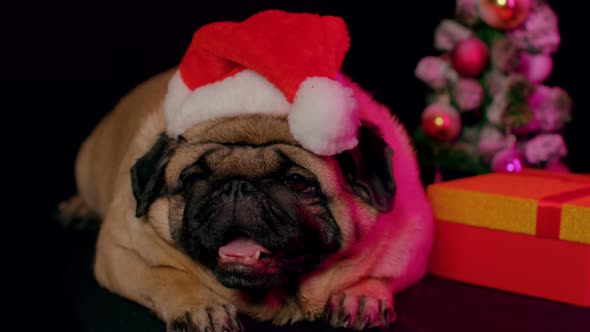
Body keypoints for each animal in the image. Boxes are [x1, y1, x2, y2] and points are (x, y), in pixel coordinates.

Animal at [61, 9, 434, 330]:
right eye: (193, 179)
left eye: (297, 182)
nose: (237, 185)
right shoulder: (119, 252)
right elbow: (165, 275)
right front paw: (199, 305)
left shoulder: (411, 246)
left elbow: (381, 272)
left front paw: (361, 293)